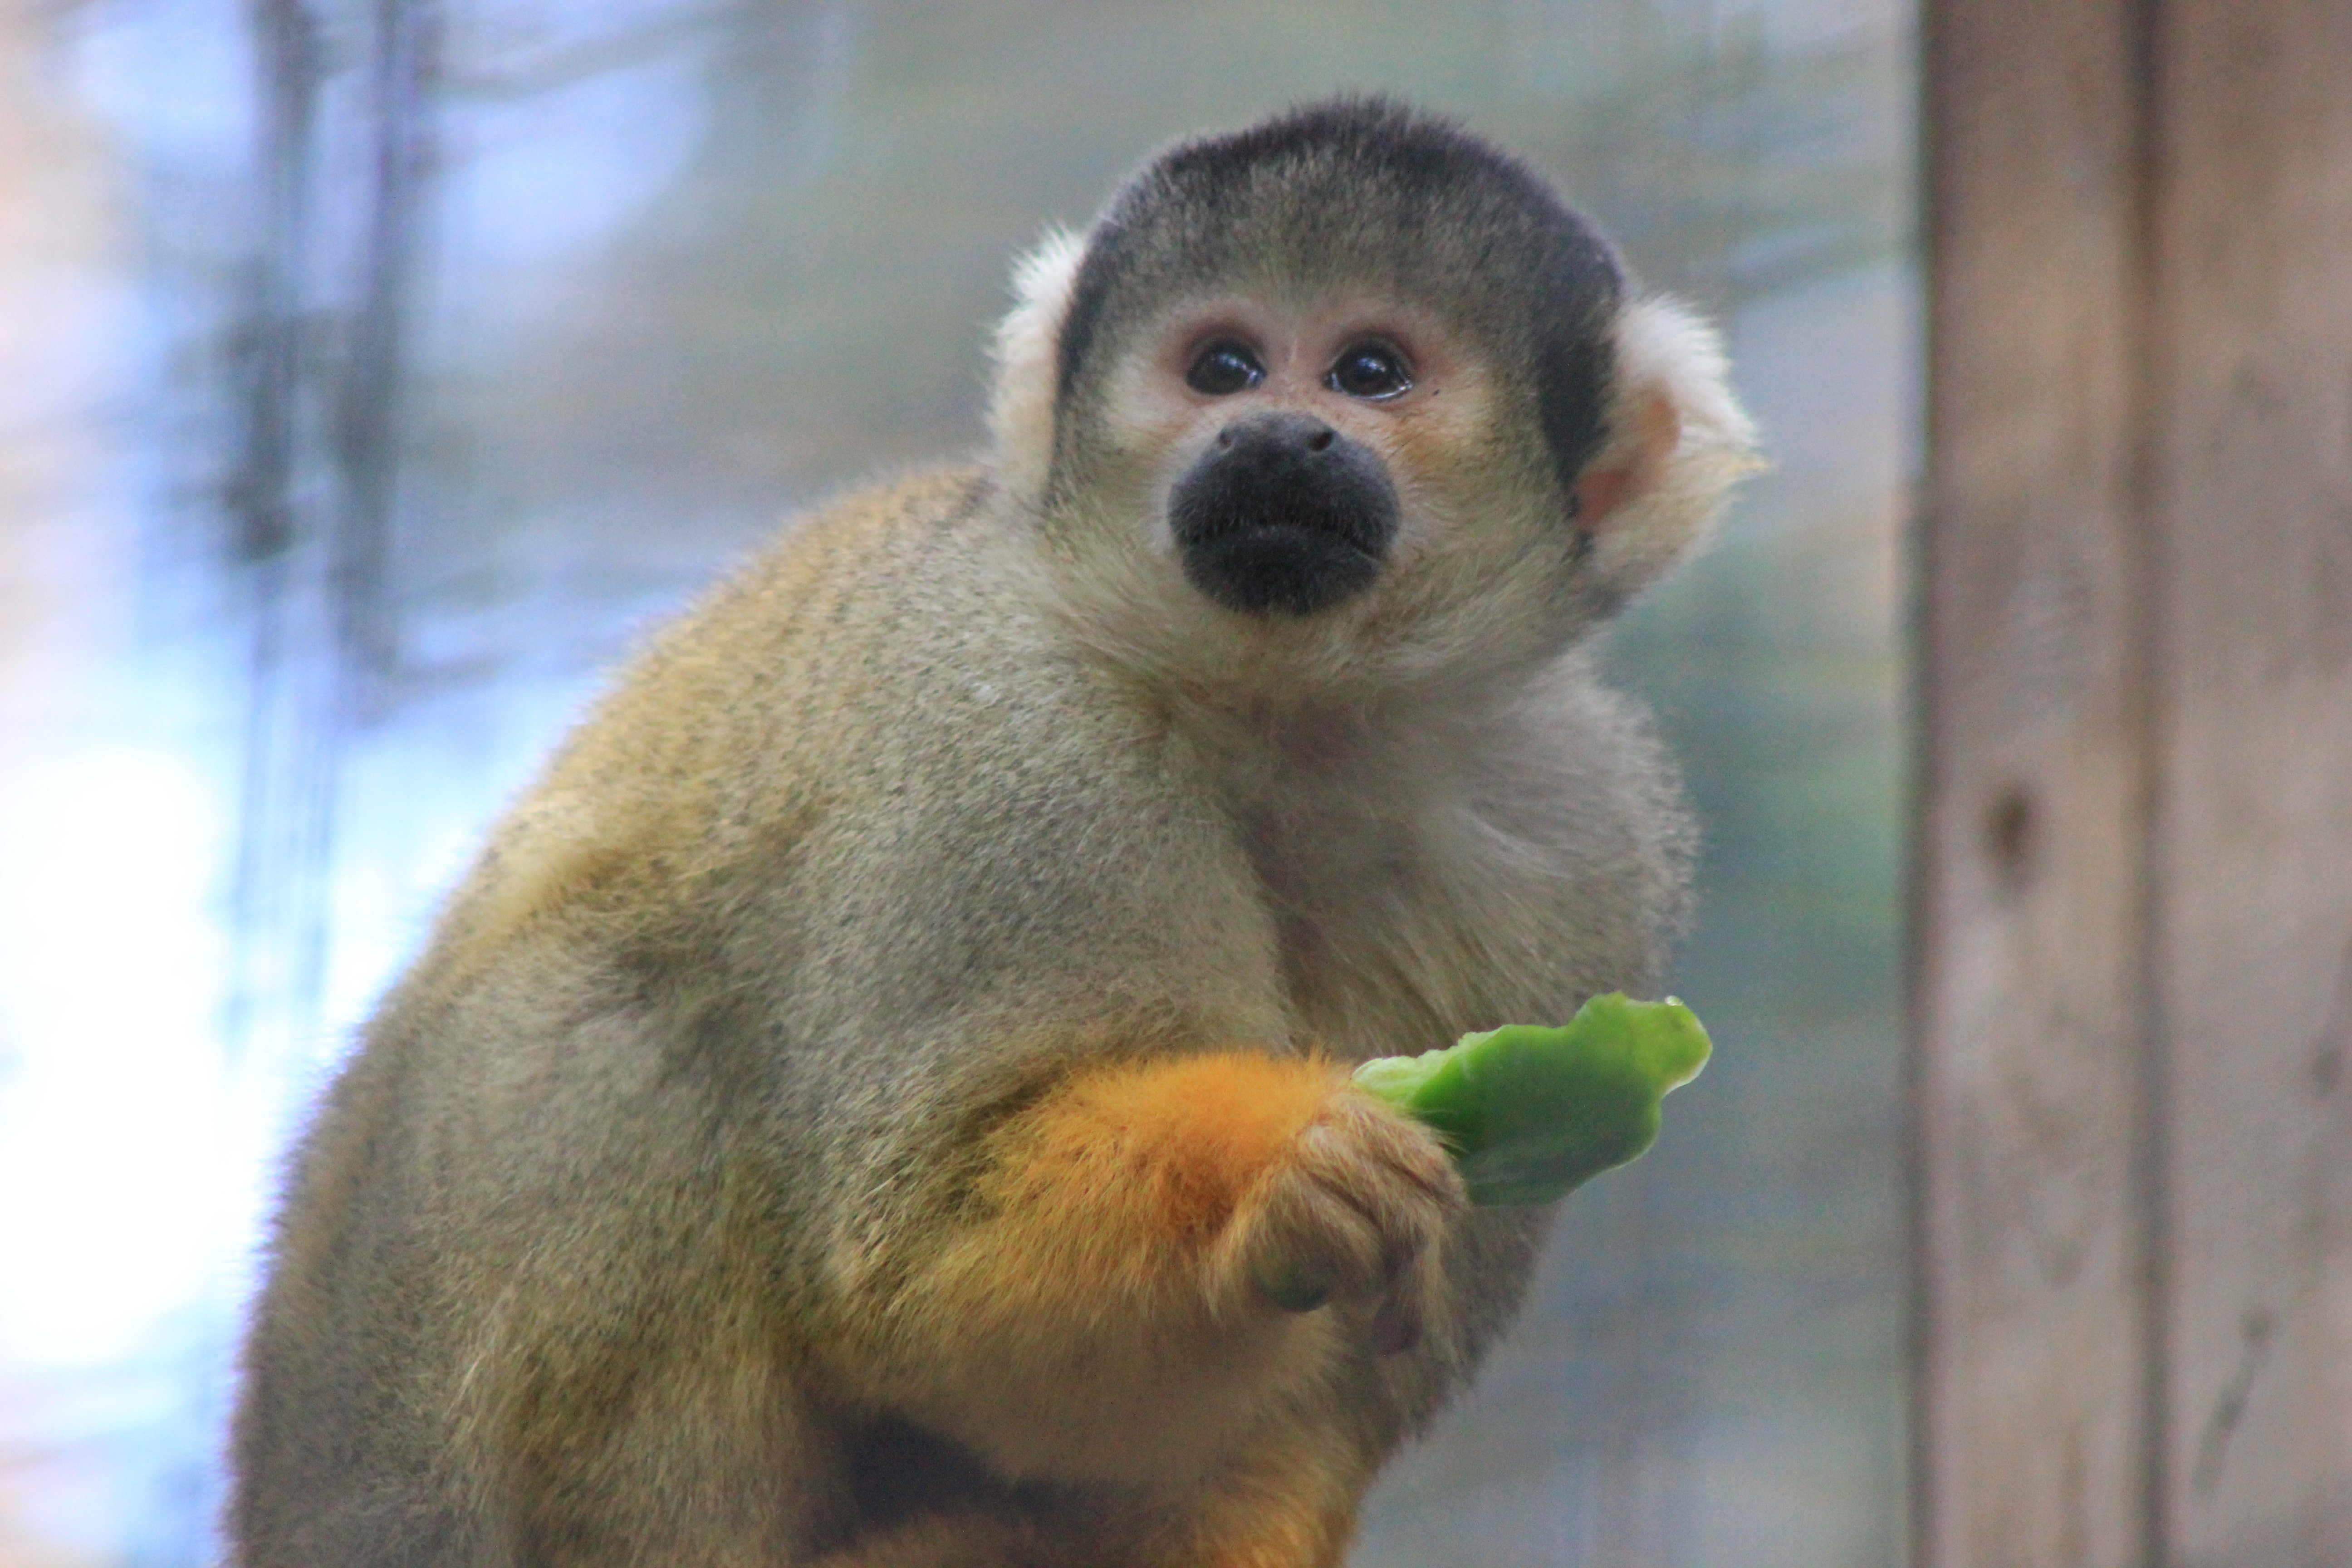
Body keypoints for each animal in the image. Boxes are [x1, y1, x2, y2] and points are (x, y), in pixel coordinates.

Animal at [229, 101, 1759, 1568]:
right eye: (1223, 367)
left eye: (1370, 372)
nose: (1273, 438)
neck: (1288, 711)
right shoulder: (1011, 728)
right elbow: (925, 1255)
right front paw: (1273, 1177)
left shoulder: (1582, 849)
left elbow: (1322, 1411)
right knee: (612, 1038)